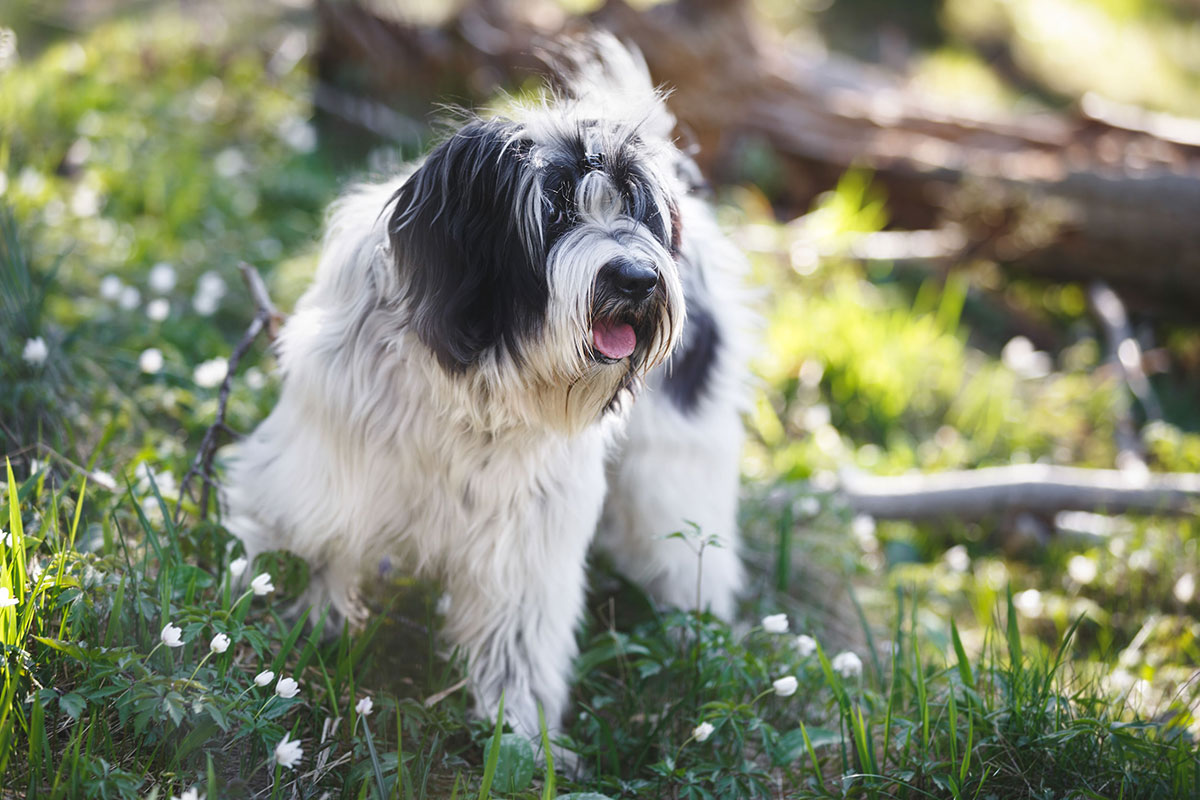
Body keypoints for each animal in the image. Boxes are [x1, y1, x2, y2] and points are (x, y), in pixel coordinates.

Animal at [223, 37, 748, 748]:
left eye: (637, 210)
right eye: (553, 206)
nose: (638, 278)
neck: (476, 379)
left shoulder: (528, 532)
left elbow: (517, 637)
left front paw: (521, 737)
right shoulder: (322, 469)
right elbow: (310, 548)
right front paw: (290, 638)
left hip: (674, 465)